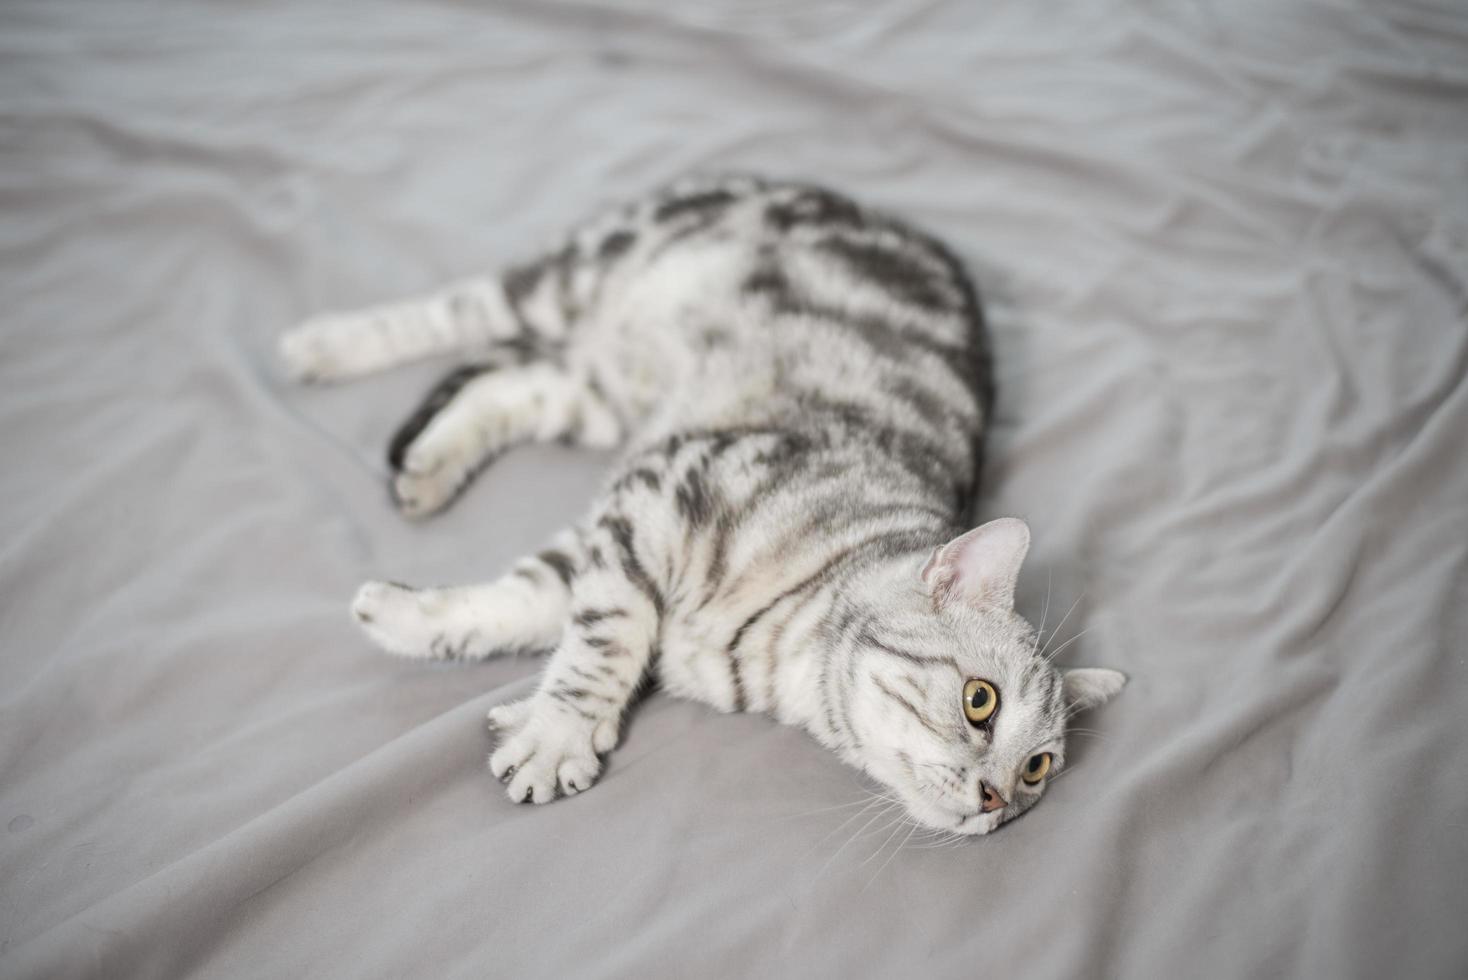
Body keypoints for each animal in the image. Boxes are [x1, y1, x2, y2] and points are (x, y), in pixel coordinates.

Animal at [277, 173, 1121, 833]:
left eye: (1039, 768)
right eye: (981, 703)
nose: (999, 800)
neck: (772, 657)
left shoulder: (619, 515)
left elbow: (524, 602)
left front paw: (408, 620)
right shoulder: (661, 493)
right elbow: (604, 637)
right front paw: (558, 732)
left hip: (606, 396)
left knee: (516, 386)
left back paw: (429, 468)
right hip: (580, 274)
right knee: (460, 309)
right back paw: (321, 346)